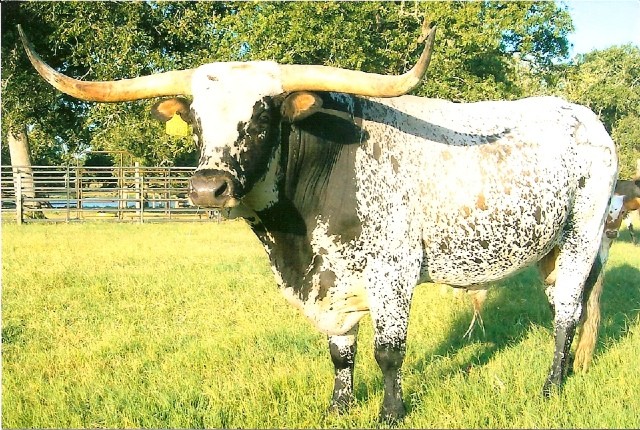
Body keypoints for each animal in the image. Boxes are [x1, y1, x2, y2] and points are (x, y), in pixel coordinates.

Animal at [19, 25, 619, 422]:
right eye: (195, 118)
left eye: (263, 114)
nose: (208, 188)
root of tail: (586, 117)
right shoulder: (329, 282)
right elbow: (341, 350)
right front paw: (338, 408)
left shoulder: (393, 271)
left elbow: (388, 351)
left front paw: (389, 414)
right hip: (550, 247)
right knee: (566, 306)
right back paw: (569, 372)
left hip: (582, 234)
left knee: (566, 312)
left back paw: (550, 388)